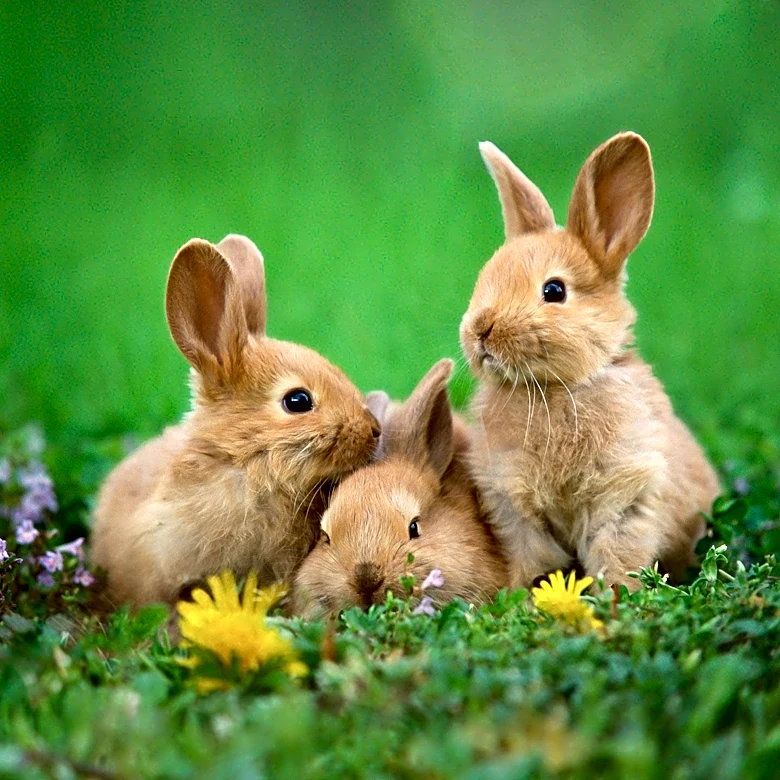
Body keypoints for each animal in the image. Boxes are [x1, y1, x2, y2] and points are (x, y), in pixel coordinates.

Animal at [459, 132, 720, 591]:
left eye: (554, 290)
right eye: (485, 277)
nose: (480, 330)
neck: (554, 388)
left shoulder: (626, 495)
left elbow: (616, 553)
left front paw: (617, 594)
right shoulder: (513, 506)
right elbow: (534, 559)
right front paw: (526, 594)